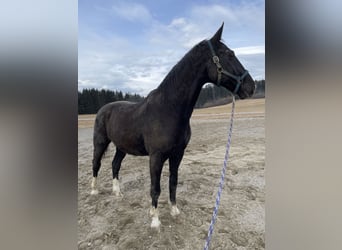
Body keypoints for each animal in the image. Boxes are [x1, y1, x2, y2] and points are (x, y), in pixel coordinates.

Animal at [89, 23, 255, 229]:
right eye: (229, 54)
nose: (251, 86)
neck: (169, 109)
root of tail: (103, 109)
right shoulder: (156, 156)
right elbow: (155, 188)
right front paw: (155, 219)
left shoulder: (178, 154)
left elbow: (173, 182)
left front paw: (174, 210)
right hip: (100, 142)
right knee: (96, 163)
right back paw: (94, 191)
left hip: (122, 147)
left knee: (115, 164)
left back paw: (117, 192)